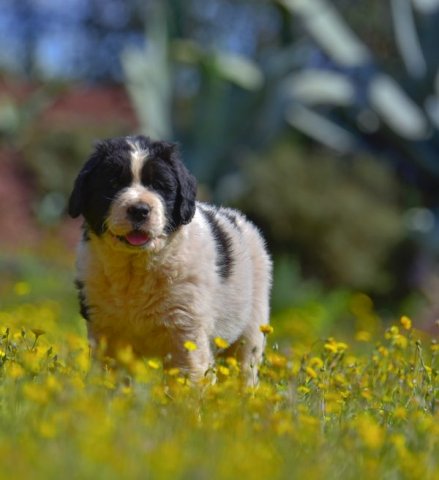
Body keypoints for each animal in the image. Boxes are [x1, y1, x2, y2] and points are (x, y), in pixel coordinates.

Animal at [68, 135, 272, 383]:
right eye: (113, 183)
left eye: (159, 185)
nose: (139, 210)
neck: (135, 266)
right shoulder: (105, 326)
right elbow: (111, 370)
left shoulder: (186, 324)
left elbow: (189, 373)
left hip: (253, 323)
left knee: (245, 366)